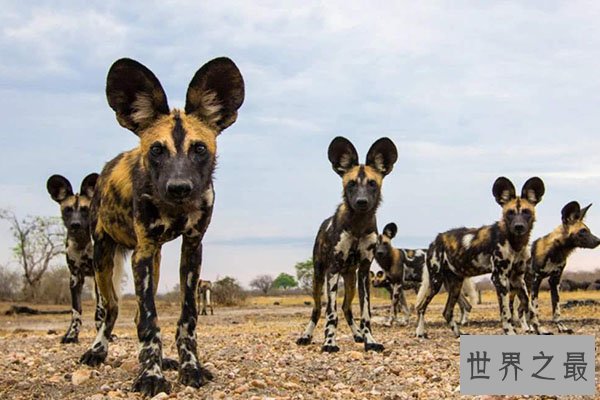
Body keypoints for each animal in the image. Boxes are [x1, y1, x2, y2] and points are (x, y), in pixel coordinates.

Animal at [47, 173, 102, 344]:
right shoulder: (75, 278)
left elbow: (99, 311)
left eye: (85, 210)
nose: (75, 225)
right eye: (68, 210)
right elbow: (76, 312)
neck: (82, 243)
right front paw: (71, 335)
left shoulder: (98, 276)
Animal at [79, 57, 244, 396]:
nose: (179, 187)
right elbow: (148, 322)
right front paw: (150, 376)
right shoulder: (141, 252)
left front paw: (189, 367)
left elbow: (186, 318)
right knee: (110, 309)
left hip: (153, 263)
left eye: (199, 149)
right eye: (156, 150)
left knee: (136, 312)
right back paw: (97, 351)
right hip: (104, 258)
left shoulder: (191, 250)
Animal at [296, 136, 398, 352]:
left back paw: (358, 335)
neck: (358, 225)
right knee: (317, 309)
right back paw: (306, 336)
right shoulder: (333, 269)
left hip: (350, 280)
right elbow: (330, 313)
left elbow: (365, 313)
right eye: (351, 184)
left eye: (372, 184)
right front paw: (329, 343)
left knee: (347, 308)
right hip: (318, 277)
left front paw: (370, 340)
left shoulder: (364, 273)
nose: (361, 201)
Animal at [414, 177, 548, 336]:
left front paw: (539, 329)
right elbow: (506, 313)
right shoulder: (499, 278)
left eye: (526, 212)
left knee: (447, 312)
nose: (518, 226)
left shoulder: (517, 279)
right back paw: (420, 332)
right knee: (421, 307)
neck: (516, 243)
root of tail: (434, 241)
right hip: (436, 282)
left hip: (455, 285)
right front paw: (509, 331)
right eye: (510, 213)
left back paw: (459, 334)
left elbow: (530, 308)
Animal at [516, 202, 596, 332]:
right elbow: (535, 310)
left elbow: (556, 309)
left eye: (588, 230)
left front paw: (561, 327)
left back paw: (528, 328)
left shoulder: (555, 280)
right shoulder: (536, 280)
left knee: (520, 309)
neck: (556, 252)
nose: (598, 241)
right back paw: (527, 328)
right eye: (582, 231)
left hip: (525, 288)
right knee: (522, 309)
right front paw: (540, 329)